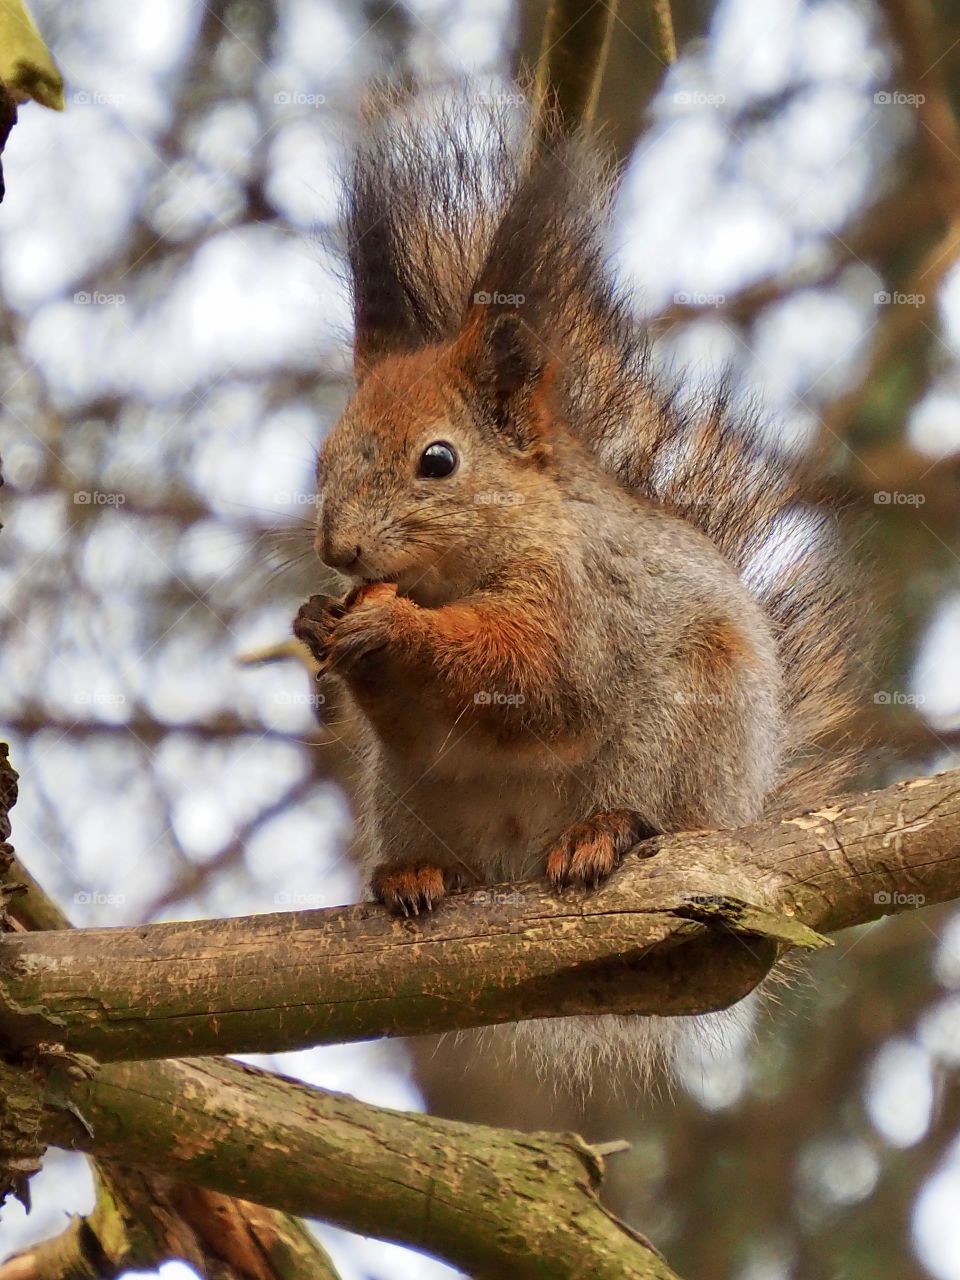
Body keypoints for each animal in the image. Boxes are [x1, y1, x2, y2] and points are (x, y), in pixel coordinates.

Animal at [292, 92, 862, 1073]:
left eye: (437, 460)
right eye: (322, 457)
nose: (341, 548)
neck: (459, 574)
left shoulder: (581, 599)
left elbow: (542, 683)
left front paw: (390, 630)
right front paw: (317, 623)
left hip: (684, 744)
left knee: (649, 811)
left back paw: (607, 833)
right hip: (405, 794)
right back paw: (421, 873)